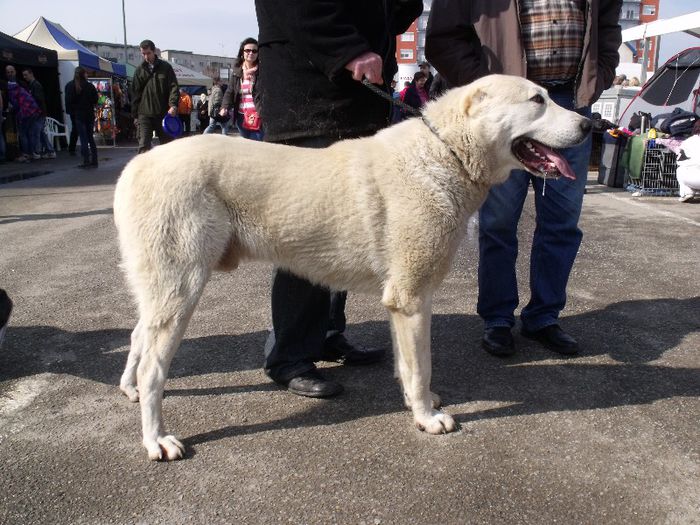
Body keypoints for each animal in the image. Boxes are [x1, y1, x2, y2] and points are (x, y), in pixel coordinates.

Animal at [113, 73, 592, 458]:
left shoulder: (403, 302)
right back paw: (156, 438)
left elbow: (407, 364)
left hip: (161, 289)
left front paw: (417, 404)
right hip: (182, 287)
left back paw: (129, 389)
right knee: (155, 366)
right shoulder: (411, 298)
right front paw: (427, 417)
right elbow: (422, 365)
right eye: (537, 100)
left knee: (138, 335)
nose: (591, 125)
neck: (445, 153)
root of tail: (138, 162)